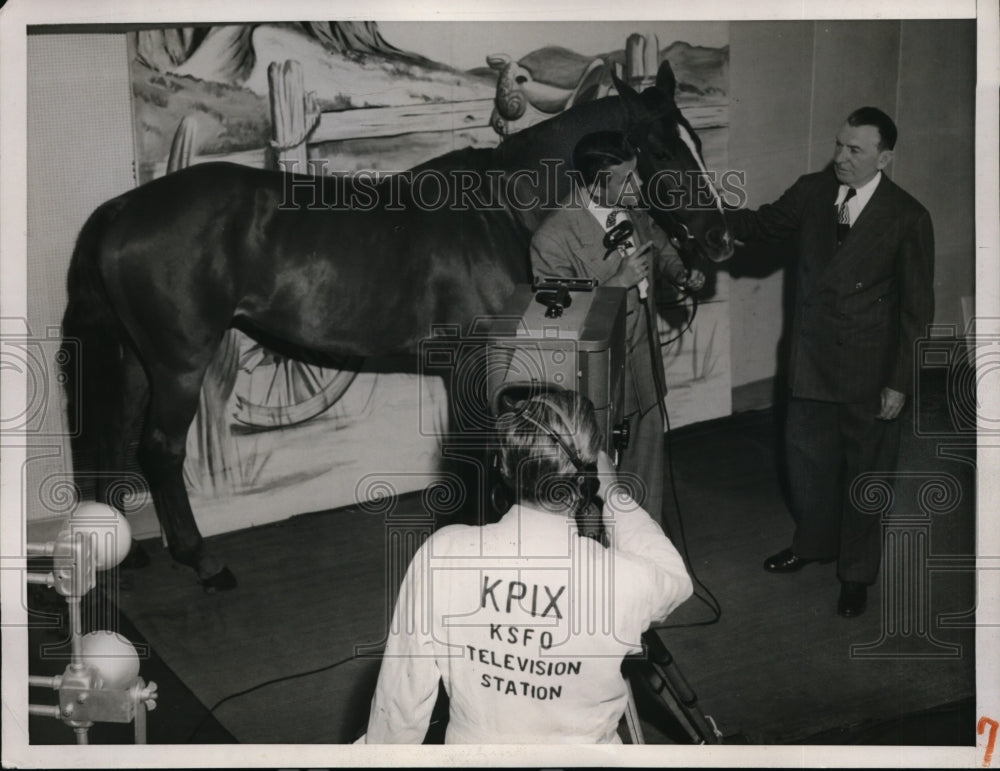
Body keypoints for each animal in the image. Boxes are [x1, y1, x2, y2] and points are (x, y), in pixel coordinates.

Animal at [62, 63, 736, 588]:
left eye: (698, 142)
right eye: (660, 150)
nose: (721, 239)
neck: (499, 211)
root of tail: (124, 208)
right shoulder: (475, 363)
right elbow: (471, 455)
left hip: (135, 360)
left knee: (111, 437)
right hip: (178, 363)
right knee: (159, 450)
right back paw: (202, 560)